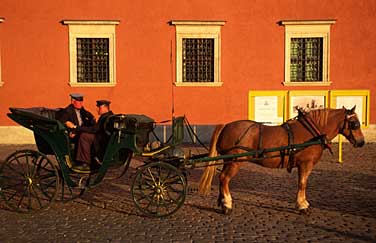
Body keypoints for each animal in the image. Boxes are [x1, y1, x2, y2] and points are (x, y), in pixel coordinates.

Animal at [200, 107, 364, 214]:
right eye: (355, 124)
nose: (361, 142)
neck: (312, 132)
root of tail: (226, 125)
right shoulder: (306, 164)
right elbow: (302, 183)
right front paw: (302, 205)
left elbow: (301, 183)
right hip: (235, 162)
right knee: (224, 178)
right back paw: (227, 204)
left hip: (228, 161)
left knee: (221, 179)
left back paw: (222, 202)